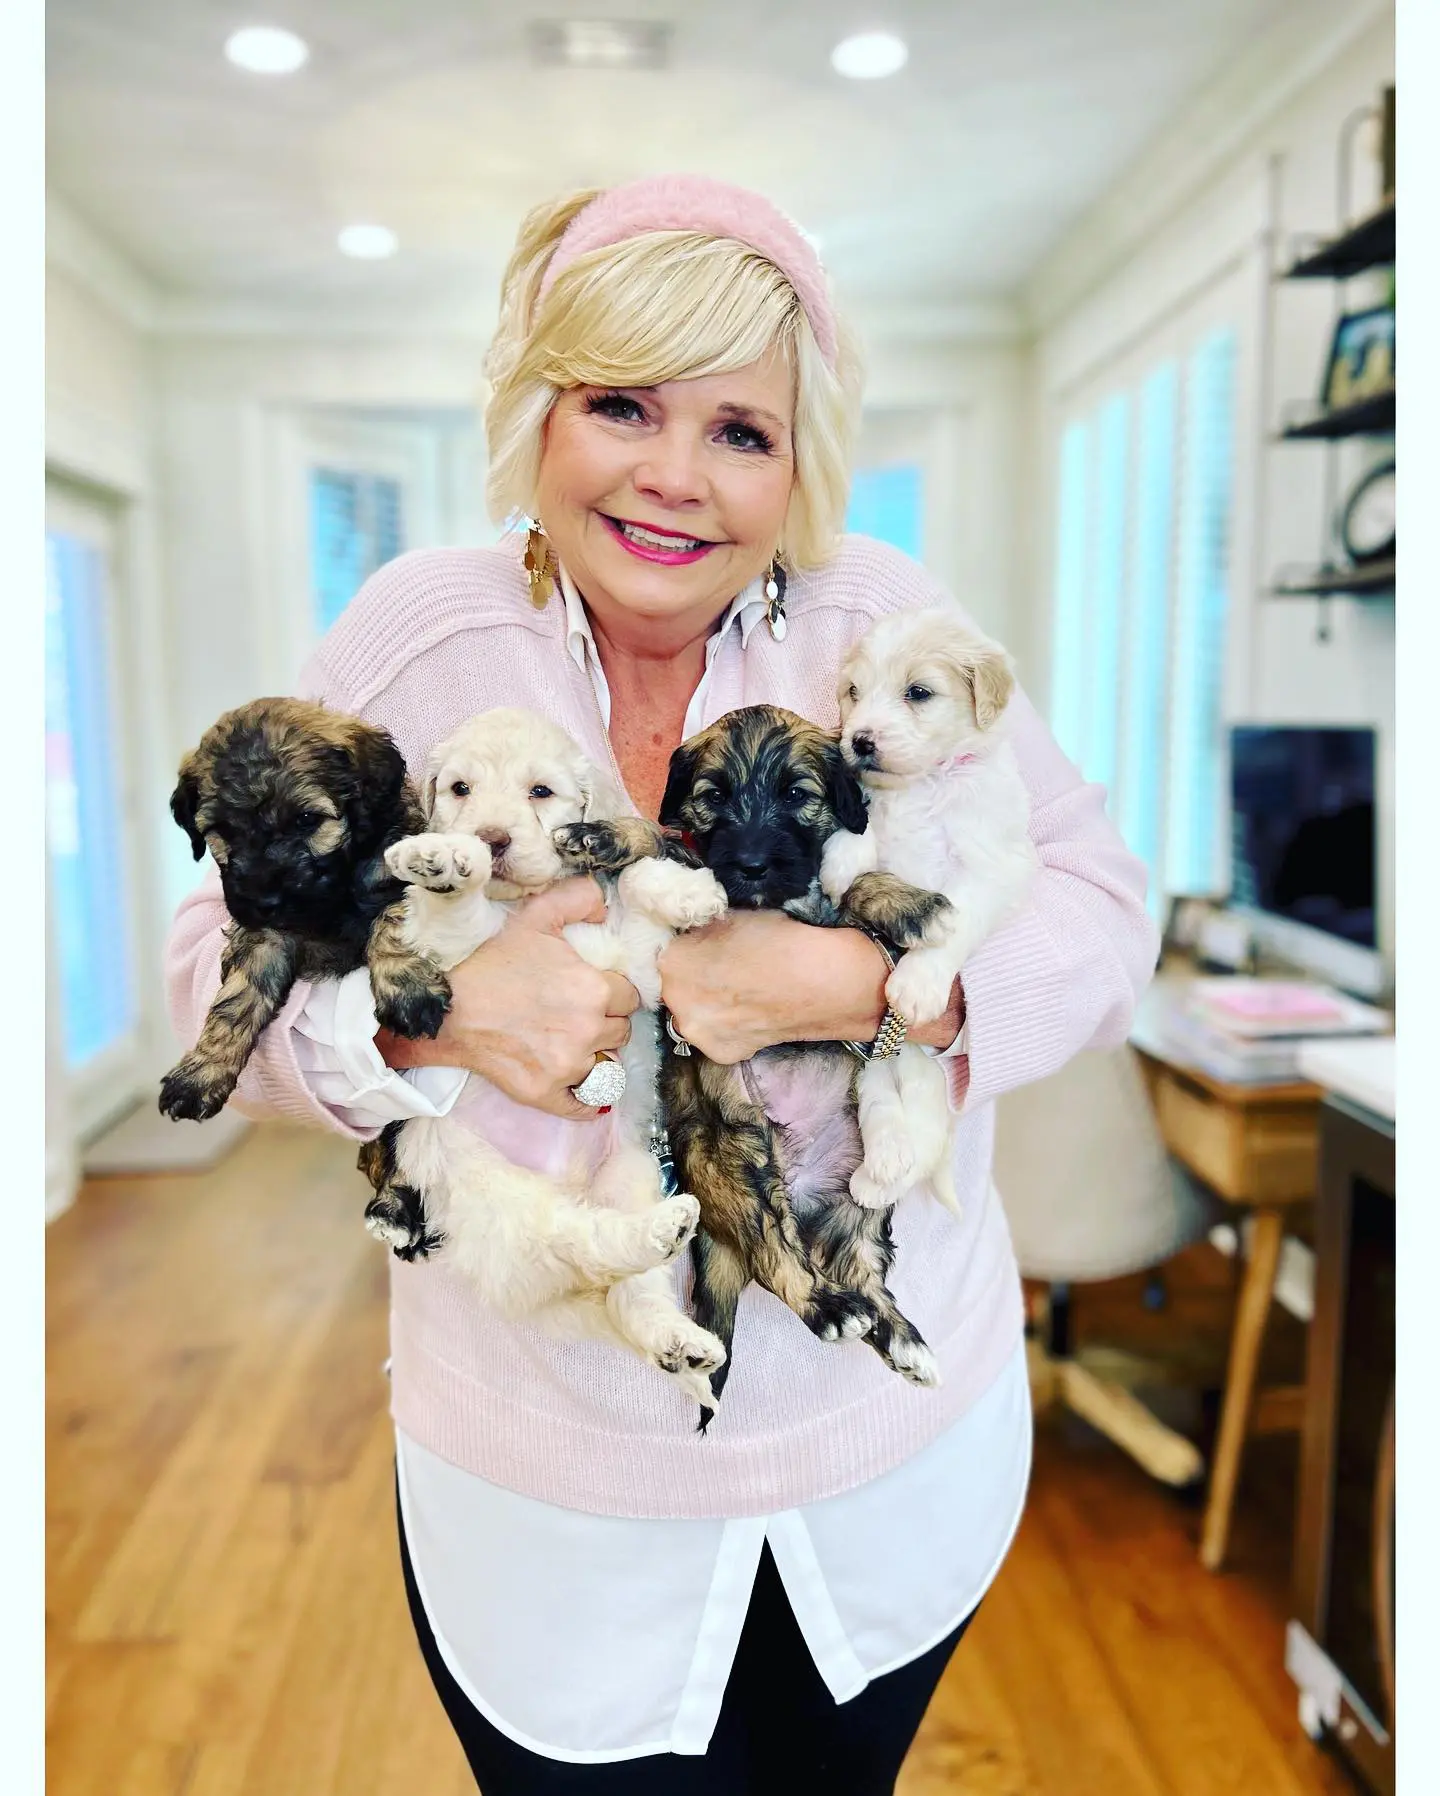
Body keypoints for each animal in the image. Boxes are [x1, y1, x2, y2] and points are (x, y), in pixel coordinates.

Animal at [158, 696, 452, 1120]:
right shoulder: (263, 937)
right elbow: (236, 997)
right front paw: (202, 1071)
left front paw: (410, 992)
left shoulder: (406, 876)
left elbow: (392, 924)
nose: (264, 900)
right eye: (223, 832)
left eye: (307, 819)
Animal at [353, 707, 725, 1408]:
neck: (521, 904)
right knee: (576, 1243)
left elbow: (631, 883)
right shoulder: (454, 953)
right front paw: (442, 862)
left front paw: (688, 894)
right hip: (496, 1200)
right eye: (461, 789)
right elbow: (453, 911)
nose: (490, 839)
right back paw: (653, 1240)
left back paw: (676, 1338)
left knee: (628, 1288)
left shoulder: (636, 967)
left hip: (626, 1175)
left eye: (541, 792)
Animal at [556, 700, 948, 1415]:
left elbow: (854, 888)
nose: (754, 866)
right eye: (716, 797)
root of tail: (803, 1190)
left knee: (860, 1266)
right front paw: (600, 835)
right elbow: (663, 842)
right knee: (776, 1257)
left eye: (796, 796)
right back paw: (830, 1310)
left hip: (862, 1197)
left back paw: (900, 1336)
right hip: (736, 1160)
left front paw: (912, 905)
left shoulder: (835, 913)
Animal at [818, 610, 1034, 1214]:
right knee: (883, 1112)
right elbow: (863, 823)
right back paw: (879, 1167)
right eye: (854, 692)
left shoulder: (992, 866)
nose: (859, 740)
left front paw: (918, 982)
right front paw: (841, 862)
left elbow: (958, 919)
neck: (926, 784)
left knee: (927, 1138)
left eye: (918, 692)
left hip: (928, 1086)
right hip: (870, 1069)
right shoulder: (873, 803)